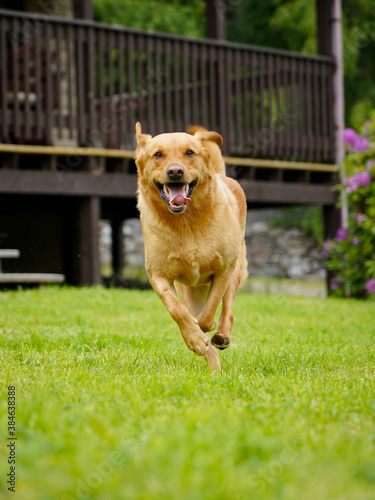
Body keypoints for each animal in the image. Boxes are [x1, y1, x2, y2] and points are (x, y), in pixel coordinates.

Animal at [135, 122, 250, 372]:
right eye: (158, 154)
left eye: (189, 152)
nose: (175, 171)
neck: (186, 222)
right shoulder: (158, 276)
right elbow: (178, 310)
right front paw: (194, 338)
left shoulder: (224, 269)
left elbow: (210, 312)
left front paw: (204, 330)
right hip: (188, 289)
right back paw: (214, 367)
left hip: (236, 269)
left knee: (228, 309)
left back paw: (221, 336)